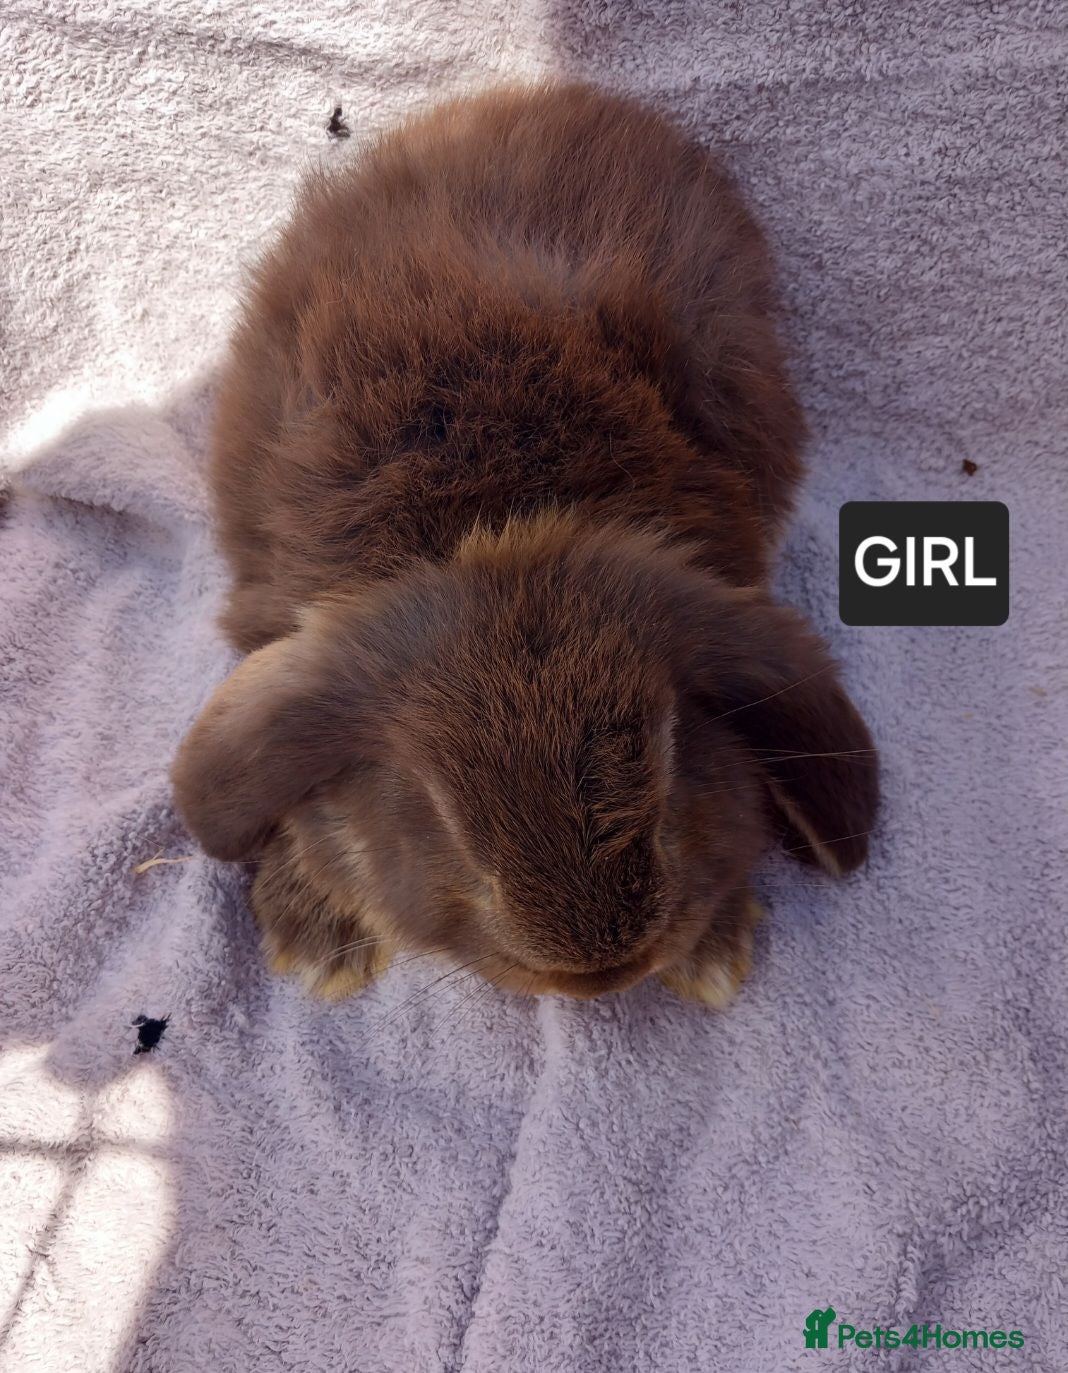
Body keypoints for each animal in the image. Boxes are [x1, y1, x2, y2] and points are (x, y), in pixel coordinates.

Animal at [172, 80, 879, 1007]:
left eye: (669, 774)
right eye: (444, 820)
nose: (601, 971)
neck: (498, 517)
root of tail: (559, 94)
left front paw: (713, 954)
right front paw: (316, 941)